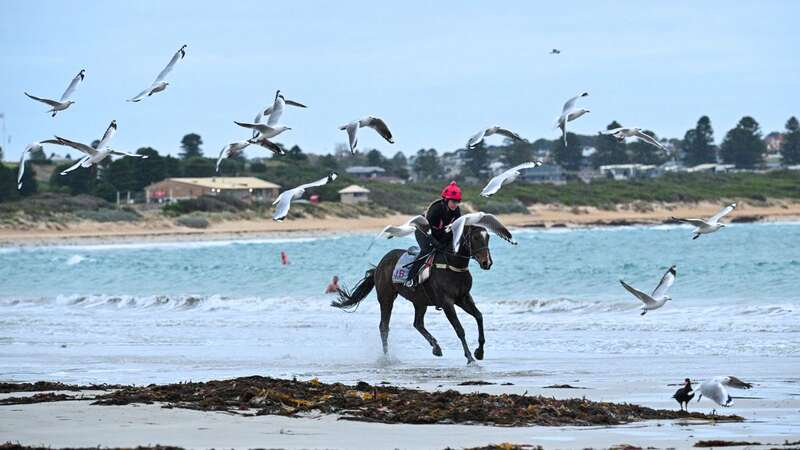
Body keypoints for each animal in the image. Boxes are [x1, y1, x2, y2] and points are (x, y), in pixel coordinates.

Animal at [332, 227, 494, 364]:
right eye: (475, 238)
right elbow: (459, 328)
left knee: (418, 323)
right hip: (386, 297)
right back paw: (387, 357)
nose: (487, 262)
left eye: (487, 237)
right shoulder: (447, 302)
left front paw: (479, 352)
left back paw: (436, 347)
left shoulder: (463, 297)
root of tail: (379, 264)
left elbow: (479, 316)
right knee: (384, 327)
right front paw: (470, 357)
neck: (452, 266)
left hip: (420, 301)